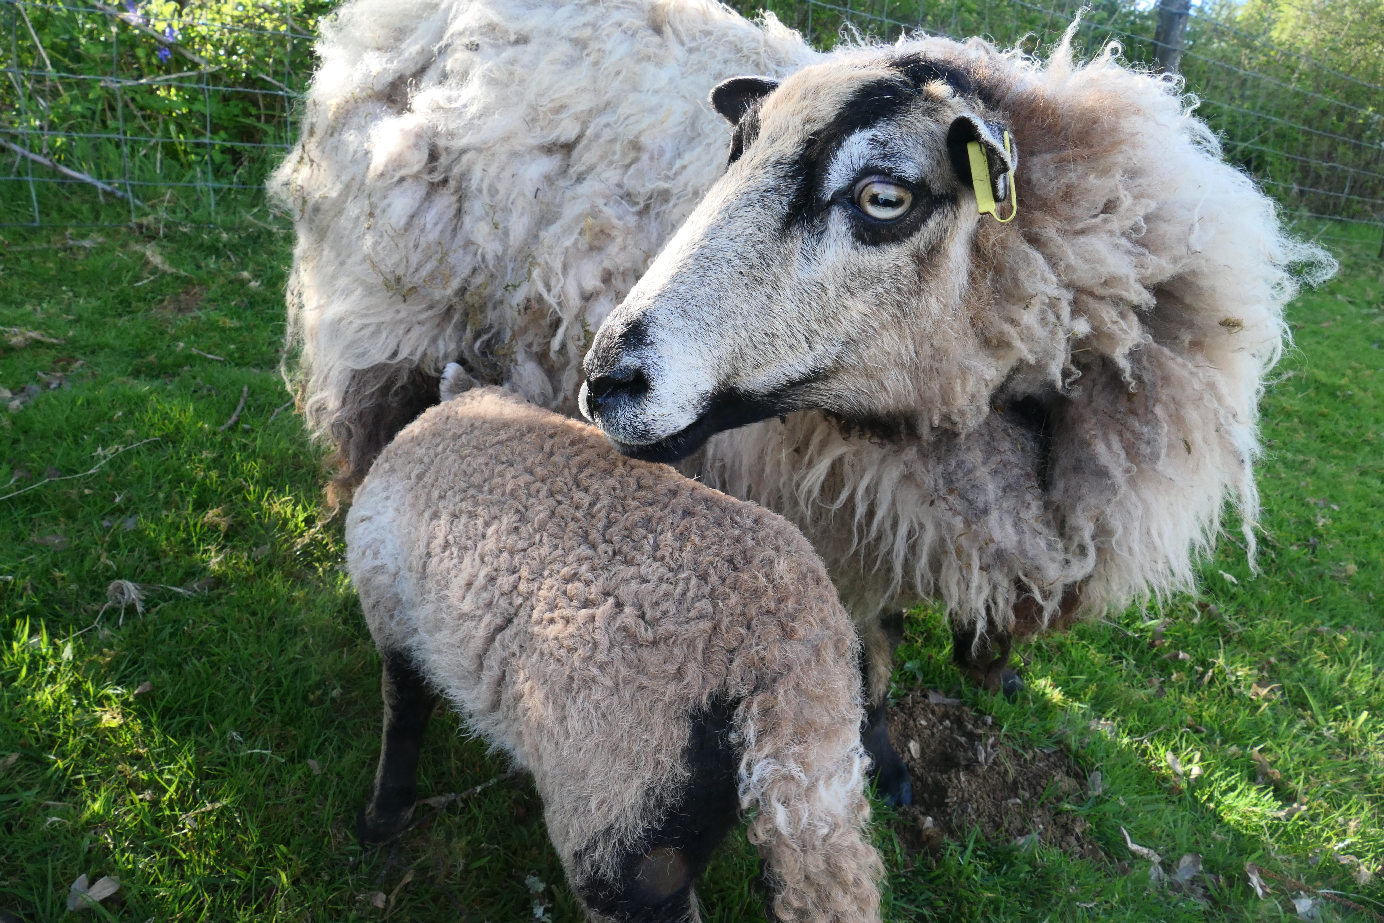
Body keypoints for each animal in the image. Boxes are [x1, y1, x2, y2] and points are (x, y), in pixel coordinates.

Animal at [269, 0, 1335, 806]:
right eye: (729, 154)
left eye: (883, 197)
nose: (607, 379)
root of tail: (383, 26)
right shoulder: (841, 510)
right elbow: (870, 649)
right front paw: (891, 761)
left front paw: (989, 665)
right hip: (388, 320)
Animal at [345, 384, 883, 923]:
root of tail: (782, 657)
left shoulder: (390, 608)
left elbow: (403, 711)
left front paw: (380, 819)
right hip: (811, 782)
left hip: (618, 795)